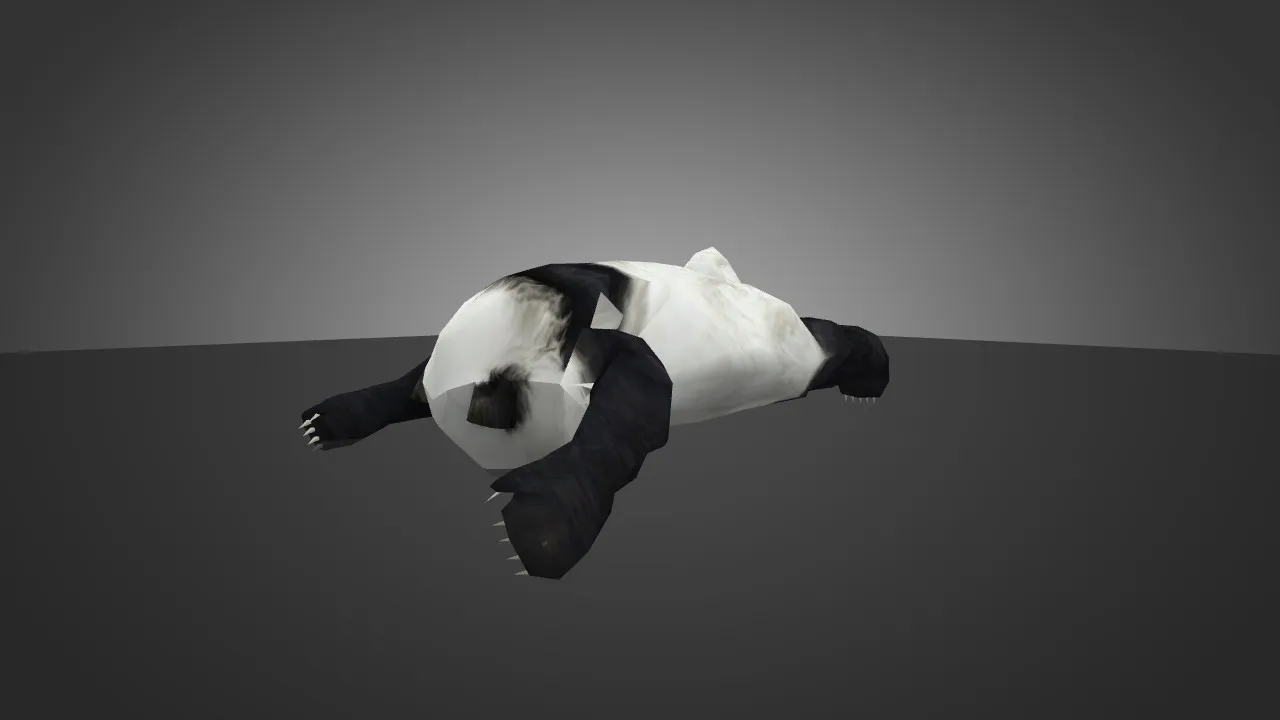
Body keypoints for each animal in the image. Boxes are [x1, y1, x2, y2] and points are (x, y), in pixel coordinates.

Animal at [298, 248, 889, 579]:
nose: (574, 387)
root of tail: (731, 277)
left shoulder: (606, 332)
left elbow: (634, 404)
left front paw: (542, 529)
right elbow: (406, 386)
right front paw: (326, 420)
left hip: (793, 342)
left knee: (831, 338)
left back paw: (868, 376)